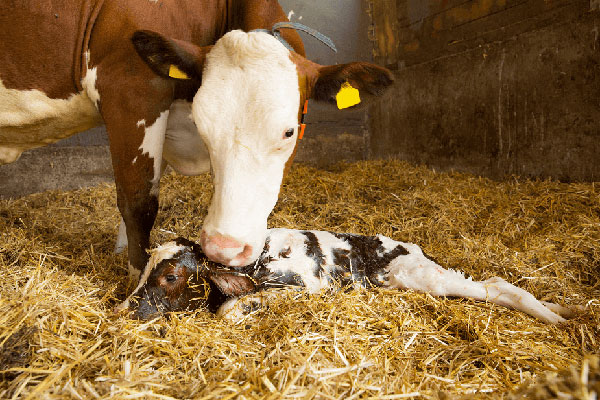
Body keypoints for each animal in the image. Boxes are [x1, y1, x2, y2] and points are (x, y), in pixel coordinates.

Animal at [0, 0, 394, 282]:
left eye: (289, 131)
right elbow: (138, 202)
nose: (224, 248)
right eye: (203, 125)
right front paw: (137, 280)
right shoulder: (130, 89)